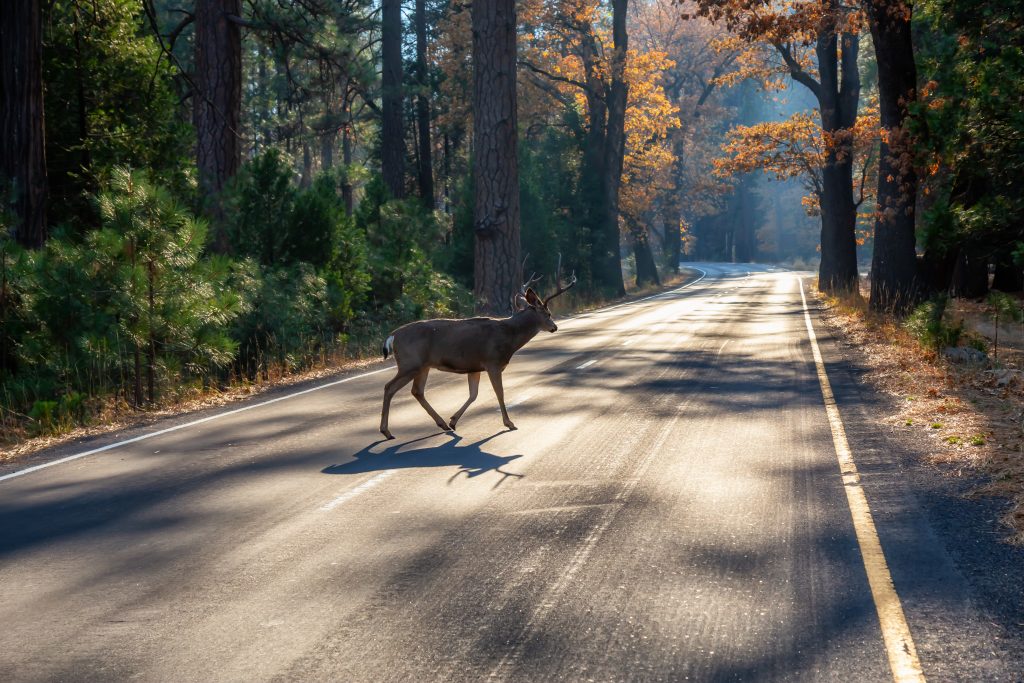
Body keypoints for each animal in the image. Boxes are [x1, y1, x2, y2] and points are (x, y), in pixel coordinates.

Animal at [382, 255, 581, 438]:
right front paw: (509, 423)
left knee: (417, 391)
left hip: (423, 366)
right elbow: (499, 392)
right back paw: (386, 431)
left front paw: (453, 421)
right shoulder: (492, 362)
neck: (509, 336)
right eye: (548, 313)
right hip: (410, 363)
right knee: (389, 387)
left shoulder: (474, 366)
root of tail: (392, 336)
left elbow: (474, 394)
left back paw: (442, 424)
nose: (554, 327)